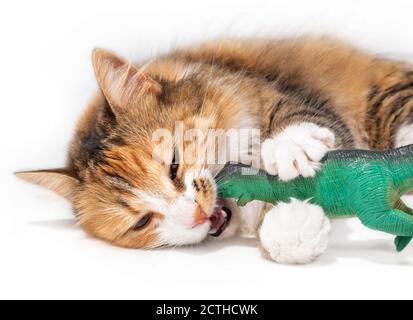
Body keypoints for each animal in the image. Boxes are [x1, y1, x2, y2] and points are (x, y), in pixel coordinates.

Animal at [16, 36, 413, 264]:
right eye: (141, 222)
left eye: (174, 165)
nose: (196, 215)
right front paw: (292, 228)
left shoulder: (288, 96)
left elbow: (294, 116)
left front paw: (291, 147)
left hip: (386, 95)